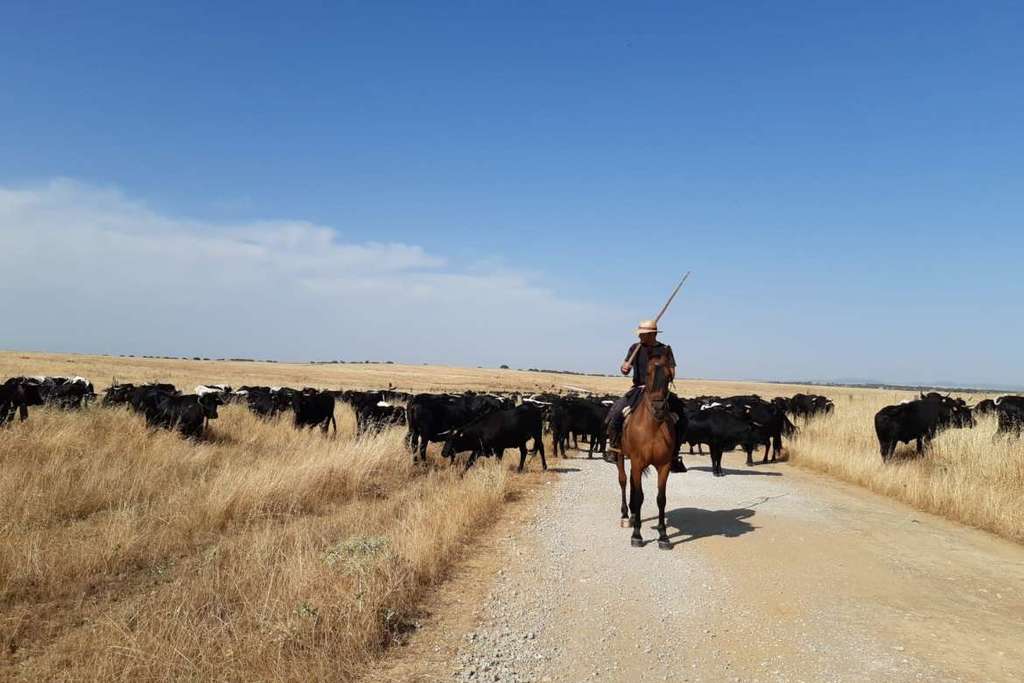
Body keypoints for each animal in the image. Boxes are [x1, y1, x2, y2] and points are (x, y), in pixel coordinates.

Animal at [618, 352, 675, 548]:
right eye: (648, 373)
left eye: (669, 375)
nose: (658, 408)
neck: (653, 427)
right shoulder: (637, 462)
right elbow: (639, 496)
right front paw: (637, 535)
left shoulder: (664, 466)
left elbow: (661, 498)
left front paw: (663, 535)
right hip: (621, 456)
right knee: (623, 481)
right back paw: (626, 515)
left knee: (632, 483)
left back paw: (634, 515)